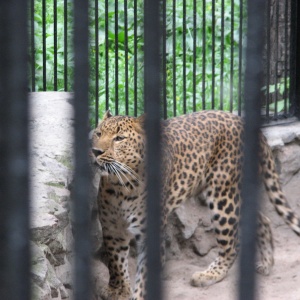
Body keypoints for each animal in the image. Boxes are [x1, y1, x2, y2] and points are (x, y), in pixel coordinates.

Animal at [92, 110, 300, 300]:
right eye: (98, 133)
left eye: (119, 138)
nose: (96, 152)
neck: (121, 186)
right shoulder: (113, 229)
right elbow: (116, 262)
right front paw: (118, 291)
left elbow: (144, 277)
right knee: (263, 220)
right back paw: (266, 263)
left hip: (223, 196)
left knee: (231, 244)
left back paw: (209, 274)